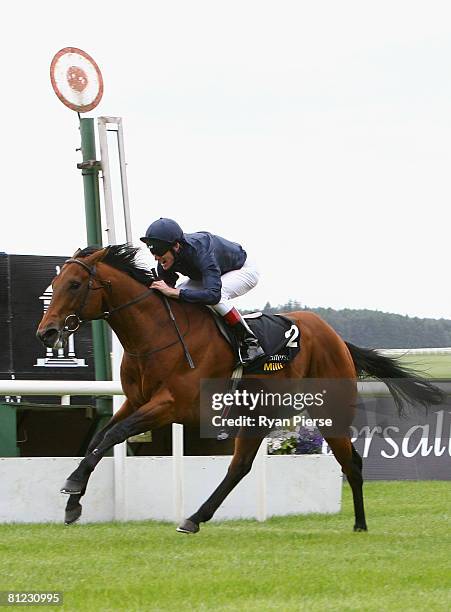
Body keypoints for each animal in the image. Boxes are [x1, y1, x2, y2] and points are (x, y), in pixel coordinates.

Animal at [36, 244, 444, 532]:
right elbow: (99, 438)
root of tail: (336, 337)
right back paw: (195, 518)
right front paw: (73, 503)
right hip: (258, 414)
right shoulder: (135, 401)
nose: (47, 332)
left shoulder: (169, 405)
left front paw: (72, 486)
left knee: (351, 462)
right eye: (53, 284)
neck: (156, 334)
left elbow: (113, 435)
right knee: (240, 467)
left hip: (328, 411)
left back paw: (360, 524)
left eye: (74, 284)